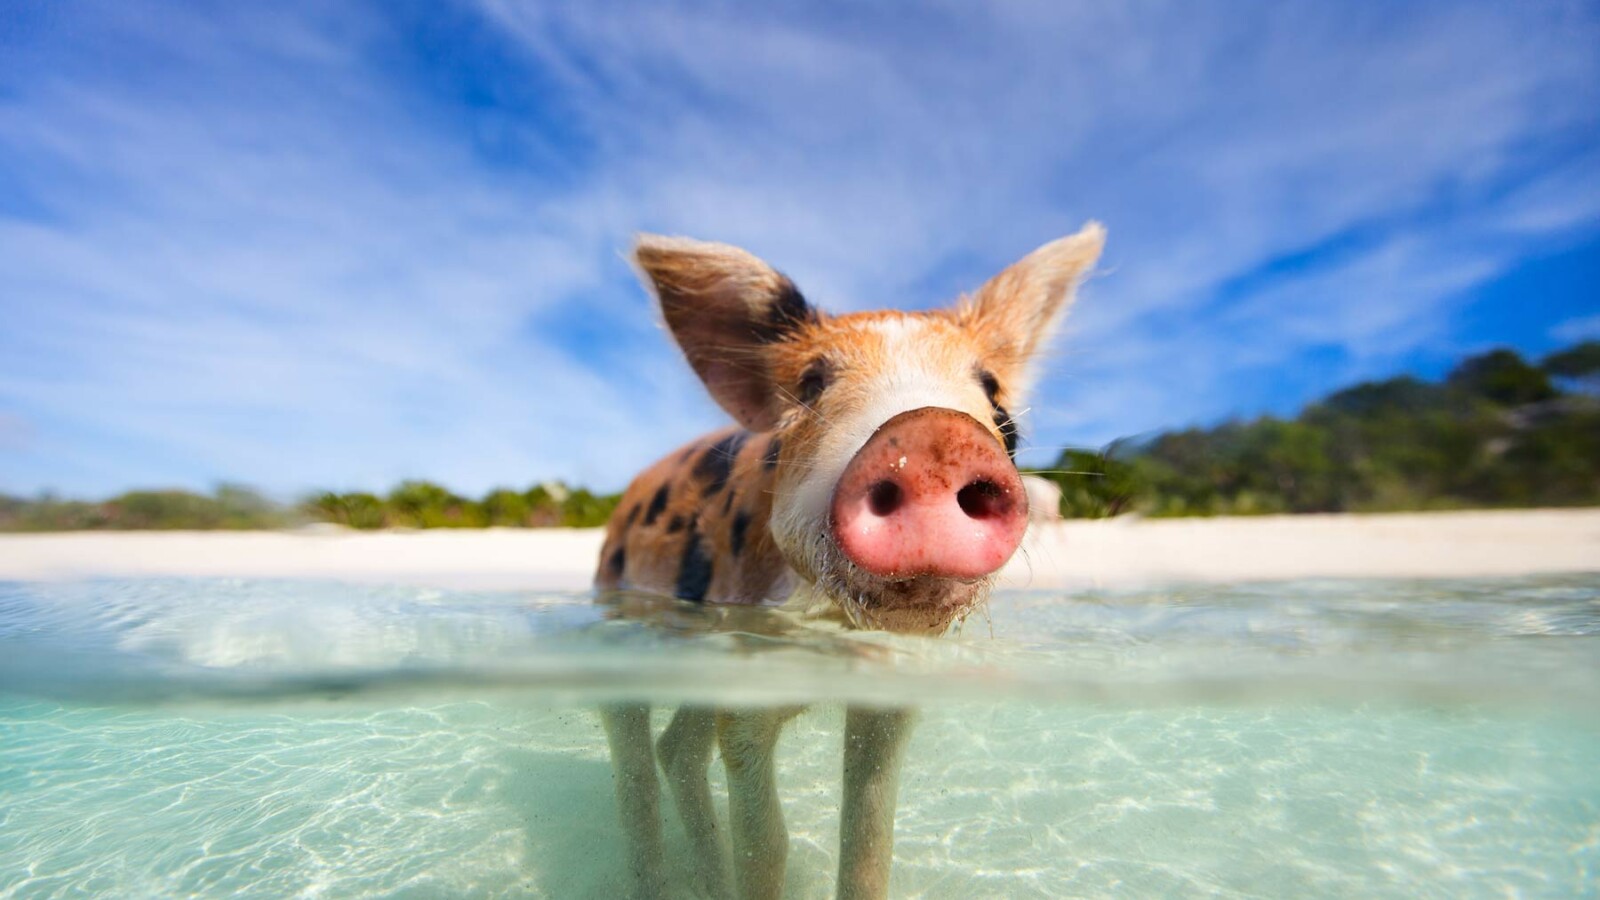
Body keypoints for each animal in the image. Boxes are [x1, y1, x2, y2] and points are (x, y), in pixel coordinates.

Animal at [594, 223, 1104, 899]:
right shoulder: (747, 678)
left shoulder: (890, 690)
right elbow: (768, 846)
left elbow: (869, 841)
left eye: (993, 391)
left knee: (677, 748)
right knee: (634, 759)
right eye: (812, 383)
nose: (932, 435)